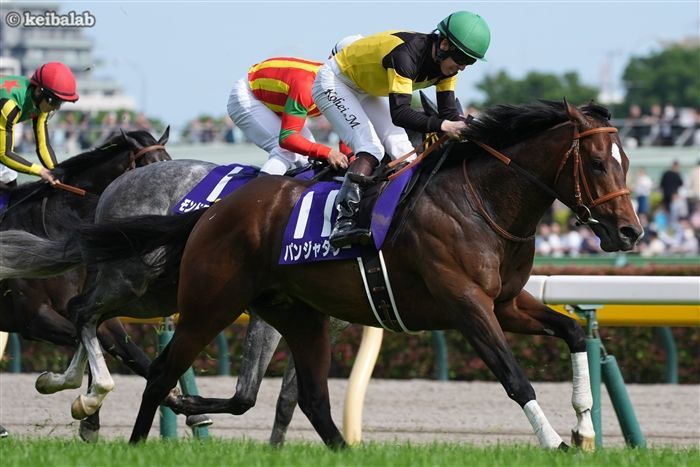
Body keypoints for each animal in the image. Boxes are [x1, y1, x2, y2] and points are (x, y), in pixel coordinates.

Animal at [0, 128, 172, 441]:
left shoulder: (98, 312)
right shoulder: (34, 318)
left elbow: (134, 356)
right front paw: (81, 405)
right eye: (150, 170)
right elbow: (91, 347)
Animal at [98, 100, 640, 448]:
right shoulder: (467, 306)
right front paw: (555, 442)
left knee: (312, 399)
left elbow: (573, 331)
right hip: (209, 305)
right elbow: (515, 379)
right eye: (596, 163)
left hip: (299, 317)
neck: (478, 203)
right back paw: (135, 438)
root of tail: (214, 211)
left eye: (627, 161)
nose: (630, 231)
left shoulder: (505, 302)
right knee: (155, 367)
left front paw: (584, 427)